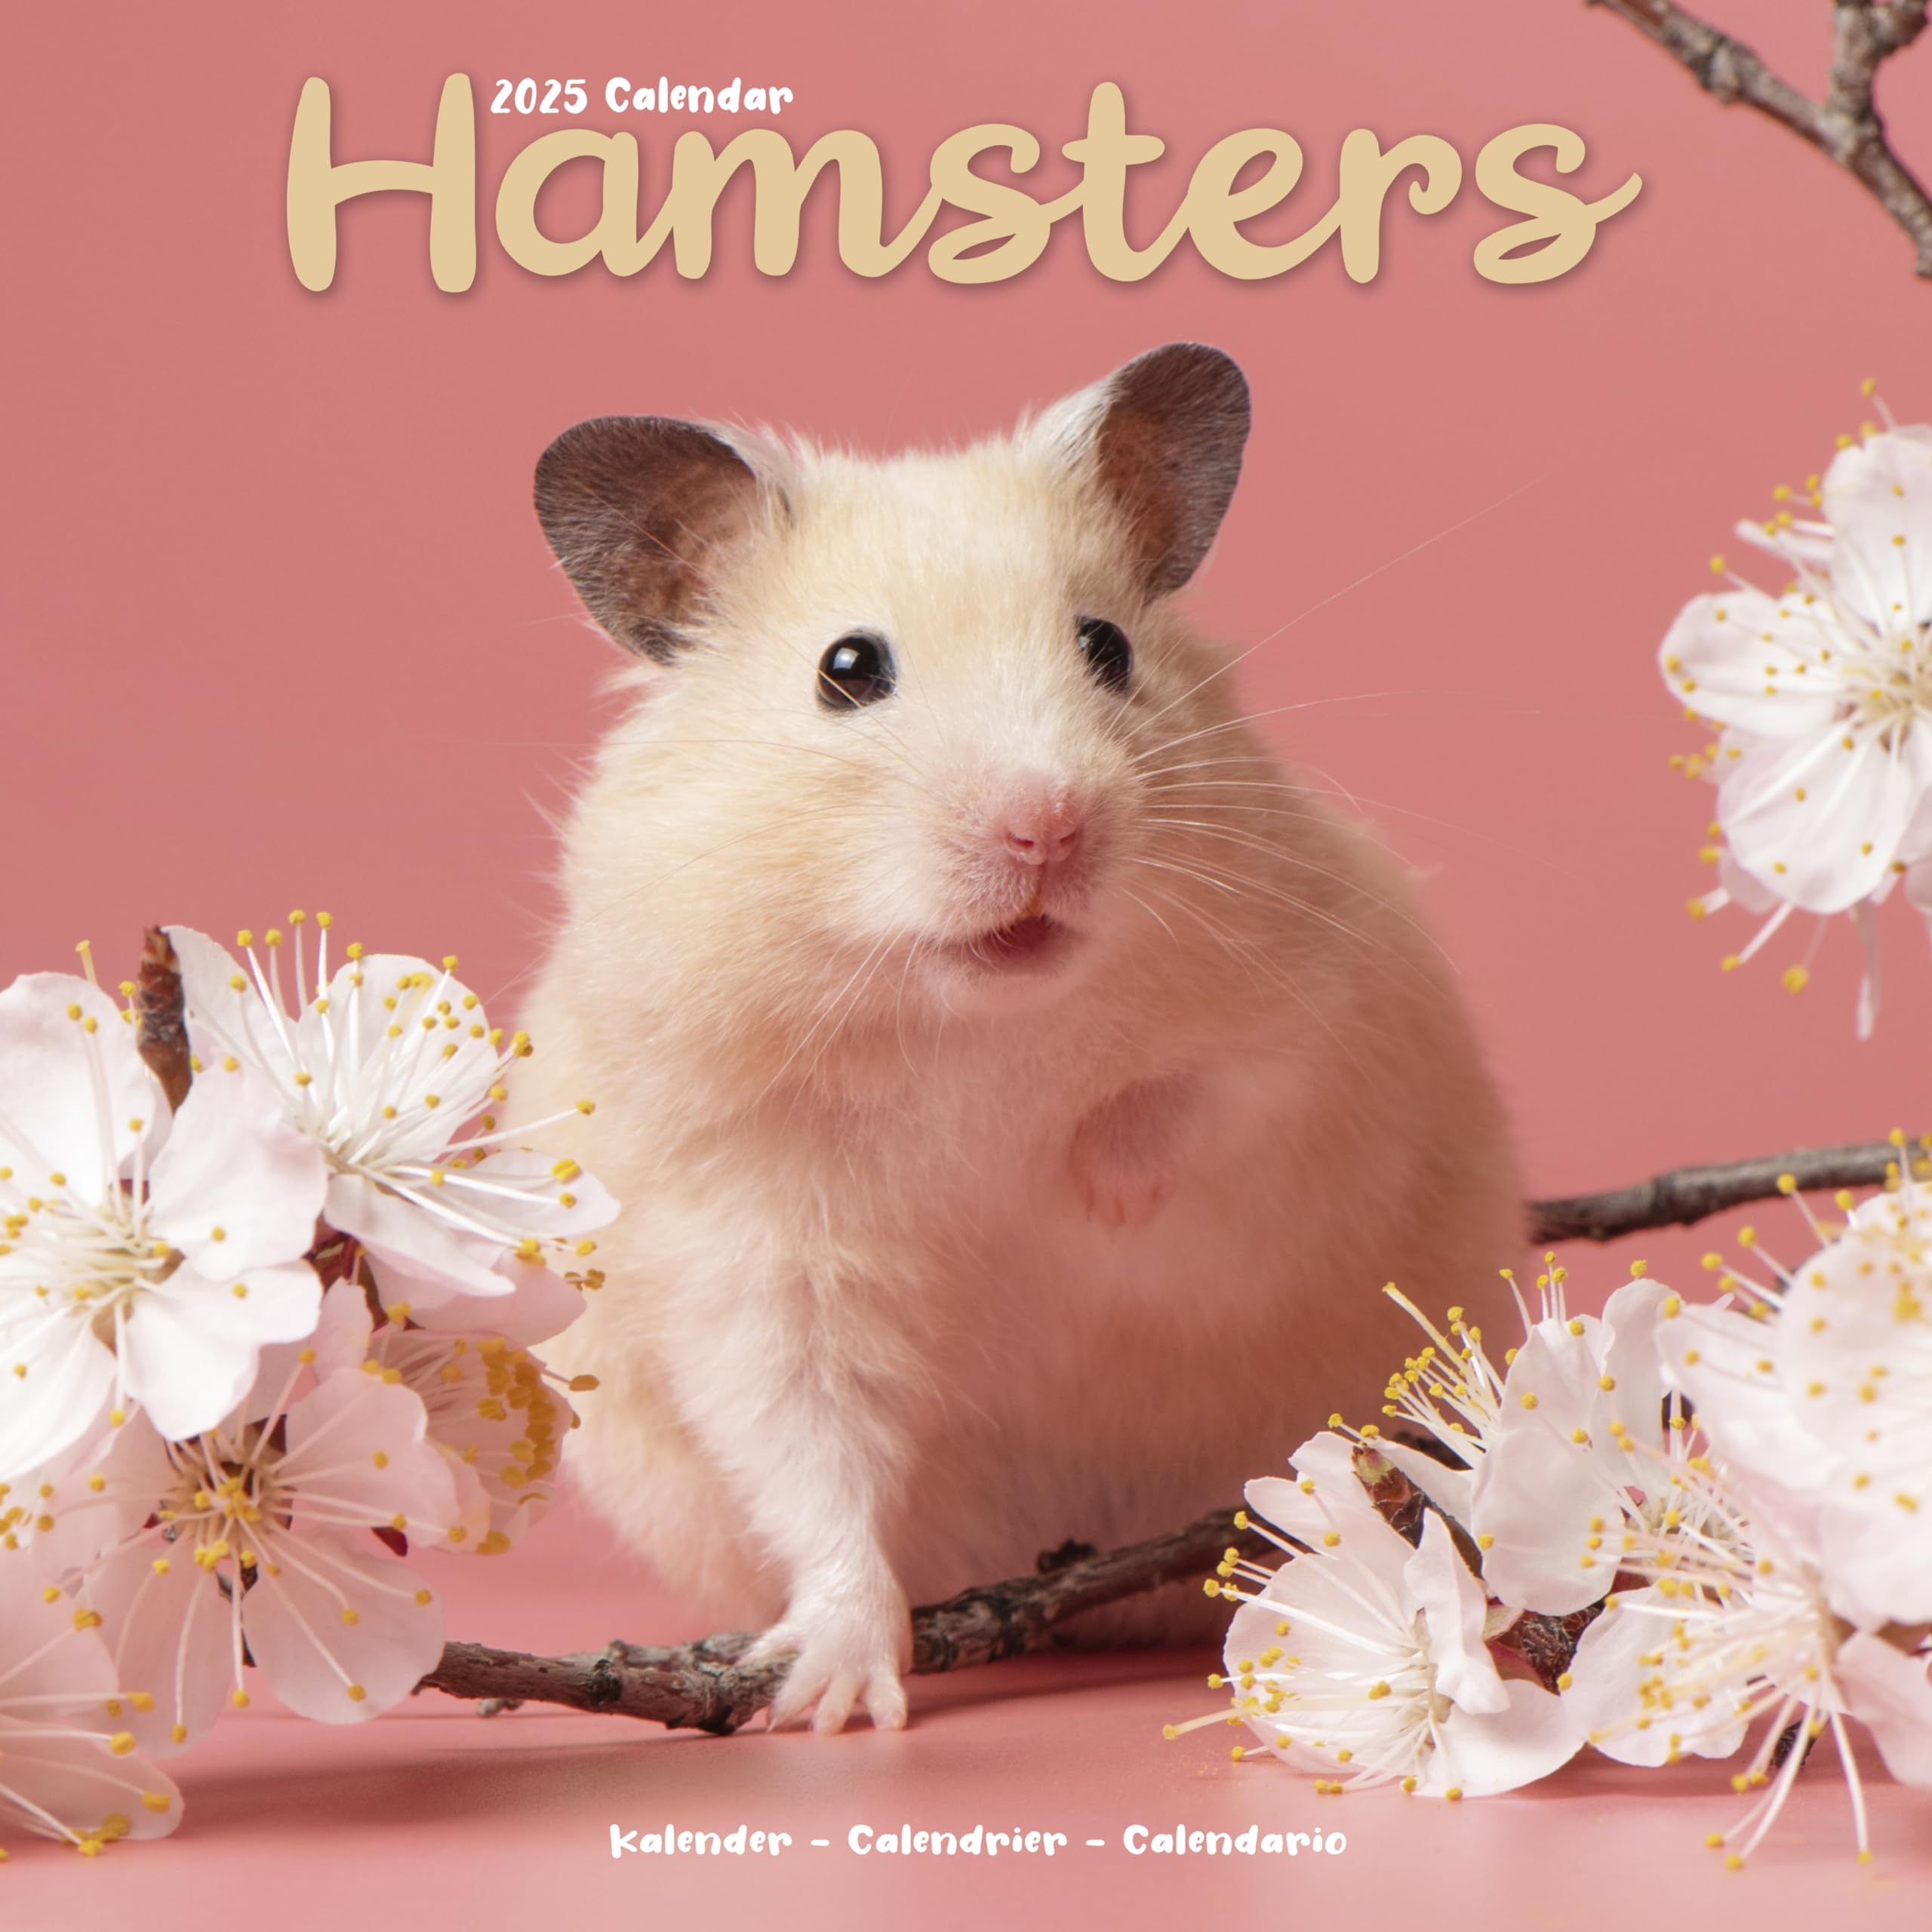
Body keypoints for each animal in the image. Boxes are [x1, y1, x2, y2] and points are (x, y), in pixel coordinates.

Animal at [513, 344, 1522, 1733]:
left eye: (1106, 645)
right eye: (847, 668)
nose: (1047, 824)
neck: (977, 1026)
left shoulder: (1325, 1018)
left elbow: (1199, 1104)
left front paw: (1095, 1196)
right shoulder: (754, 1238)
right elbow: (811, 1454)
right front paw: (829, 1697)